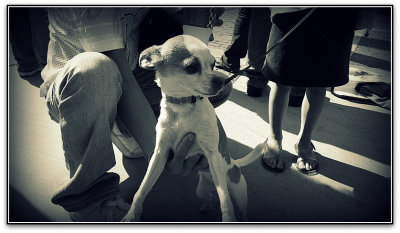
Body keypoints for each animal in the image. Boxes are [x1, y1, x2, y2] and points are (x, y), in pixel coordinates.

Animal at [122, 34, 266, 222]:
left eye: (213, 65)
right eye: (191, 67)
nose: (220, 80)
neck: (183, 106)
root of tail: (232, 162)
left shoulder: (212, 154)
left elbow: (226, 202)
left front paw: (228, 219)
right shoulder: (160, 154)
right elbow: (142, 190)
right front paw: (131, 215)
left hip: (237, 192)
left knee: (238, 208)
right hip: (202, 190)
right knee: (210, 195)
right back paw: (205, 207)